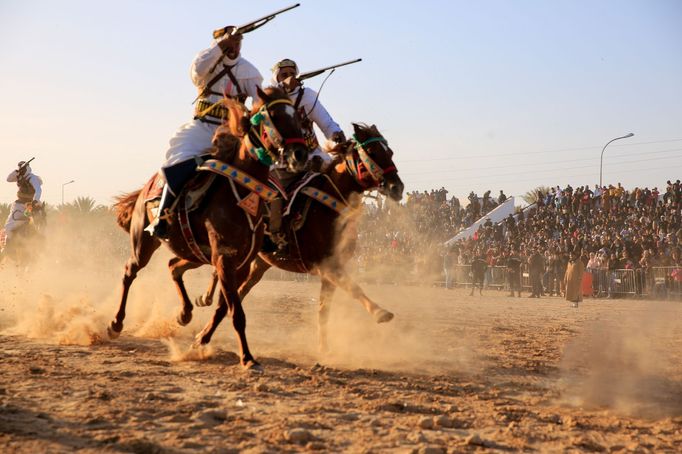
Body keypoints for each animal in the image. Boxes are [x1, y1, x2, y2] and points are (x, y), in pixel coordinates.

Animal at [109, 87, 306, 370]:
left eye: (298, 116)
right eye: (276, 114)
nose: (300, 154)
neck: (241, 192)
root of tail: (146, 188)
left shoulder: (239, 262)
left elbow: (225, 307)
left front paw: (202, 340)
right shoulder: (224, 258)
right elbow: (236, 312)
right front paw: (248, 358)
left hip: (193, 252)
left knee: (173, 267)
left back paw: (184, 313)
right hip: (144, 243)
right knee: (129, 271)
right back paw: (116, 323)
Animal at [193, 123, 404, 352]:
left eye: (390, 153)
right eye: (372, 152)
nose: (397, 187)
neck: (330, 207)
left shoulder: (332, 268)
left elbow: (323, 309)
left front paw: (324, 348)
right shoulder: (326, 266)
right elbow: (353, 288)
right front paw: (380, 313)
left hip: (259, 263)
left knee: (238, 291)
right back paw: (202, 315)